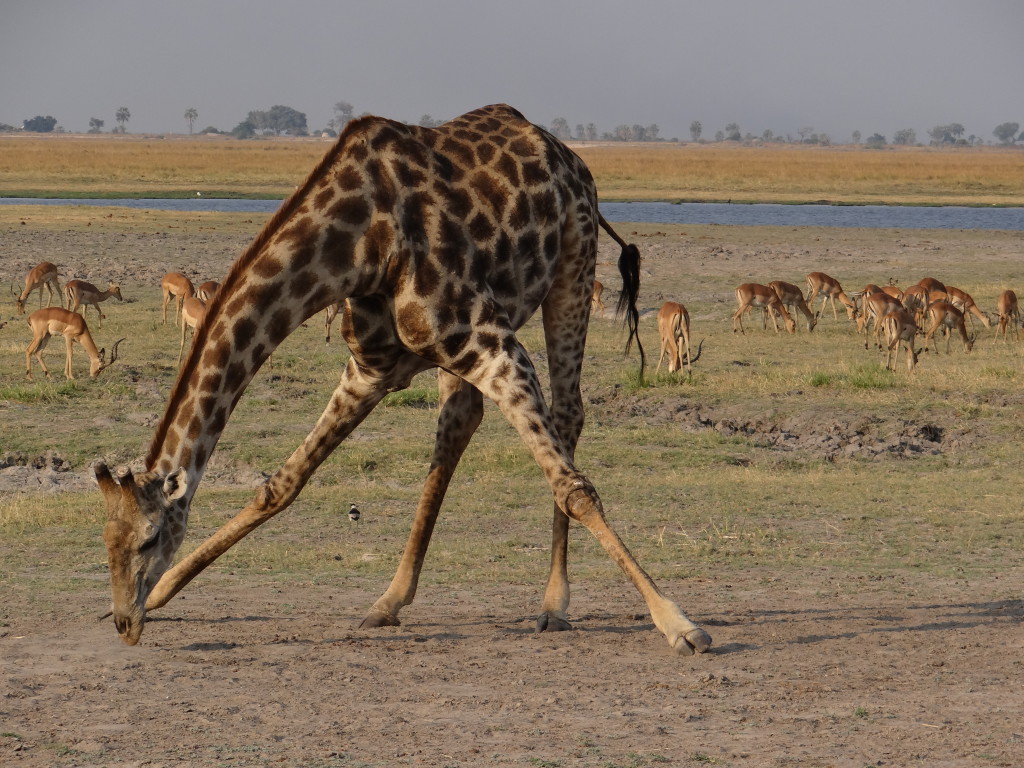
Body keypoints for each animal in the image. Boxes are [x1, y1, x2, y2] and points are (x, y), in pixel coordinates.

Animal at [98, 104, 712, 656]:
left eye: (149, 537)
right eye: (105, 539)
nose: (125, 621)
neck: (353, 247)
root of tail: (570, 158)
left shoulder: (492, 344)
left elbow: (574, 487)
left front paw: (678, 623)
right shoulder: (373, 369)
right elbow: (282, 484)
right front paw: (166, 592)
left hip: (572, 266)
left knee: (567, 414)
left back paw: (554, 606)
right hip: (469, 343)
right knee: (460, 424)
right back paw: (389, 601)